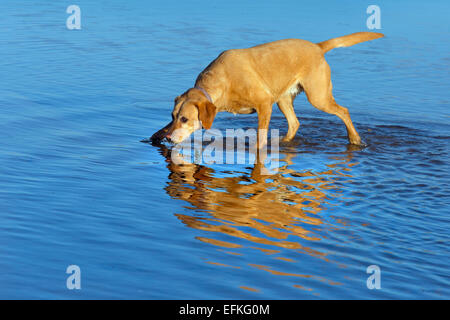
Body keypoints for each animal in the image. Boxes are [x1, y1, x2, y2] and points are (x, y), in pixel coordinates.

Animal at [151, 31, 384, 147]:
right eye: (173, 116)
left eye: (185, 119)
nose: (170, 139)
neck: (223, 83)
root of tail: (318, 47)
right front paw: (156, 136)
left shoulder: (264, 103)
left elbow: (261, 135)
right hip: (283, 98)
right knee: (295, 123)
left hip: (317, 96)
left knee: (343, 111)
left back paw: (355, 139)